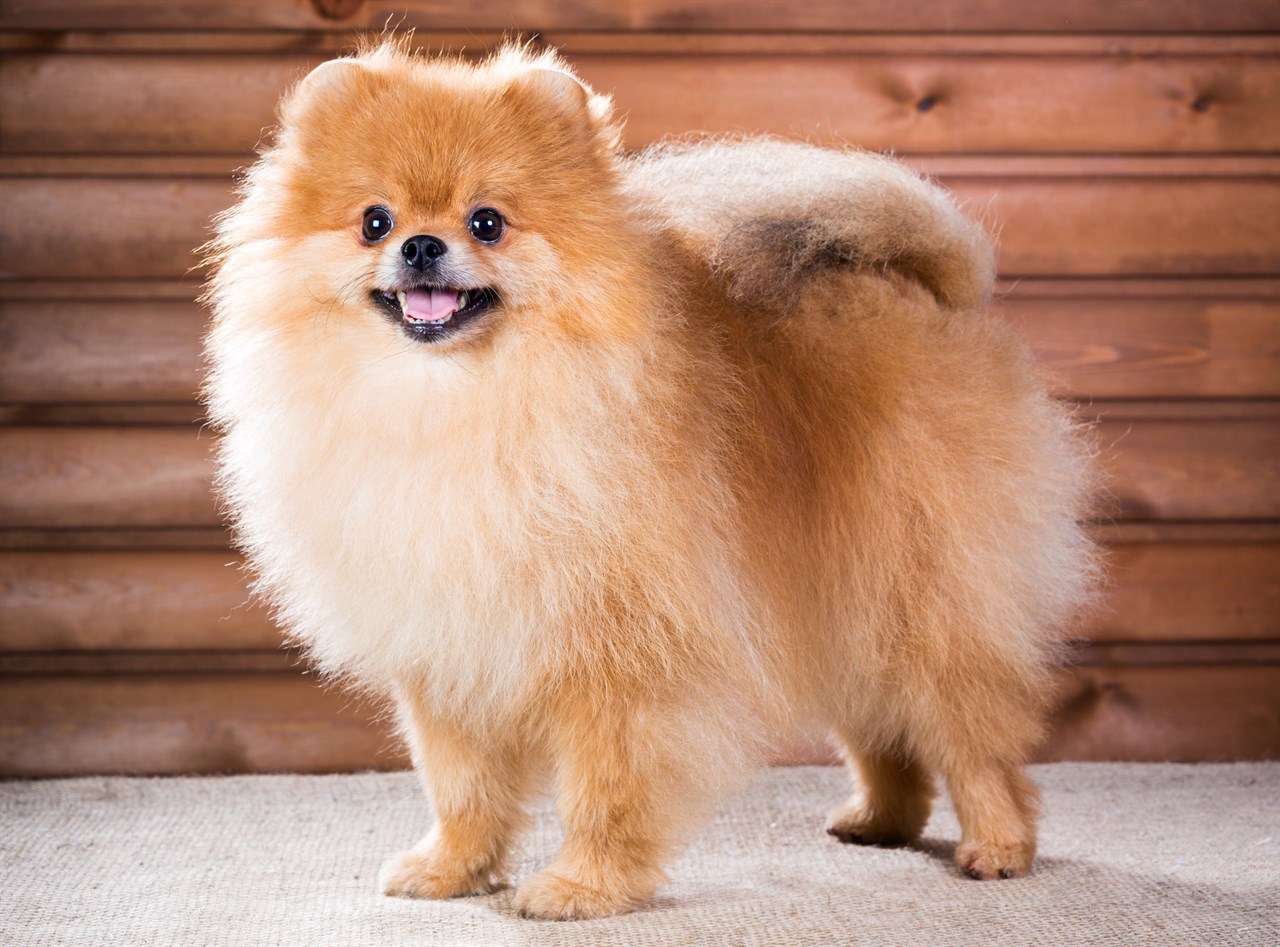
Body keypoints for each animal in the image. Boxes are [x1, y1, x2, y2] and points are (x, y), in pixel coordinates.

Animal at [202, 38, 1100, 916]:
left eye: (487, 222)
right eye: (373, 221)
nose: (421, 244)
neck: (462, 404)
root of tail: (937, 289)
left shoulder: (624, 648)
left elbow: (608, 782)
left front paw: (583, 884)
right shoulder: (453, 642)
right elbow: (462, 782)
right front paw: (452, 867)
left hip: (929, 591)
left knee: (972, 734)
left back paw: (998, 843)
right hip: (841, 593)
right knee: (883, 727)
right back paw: (880, 819)